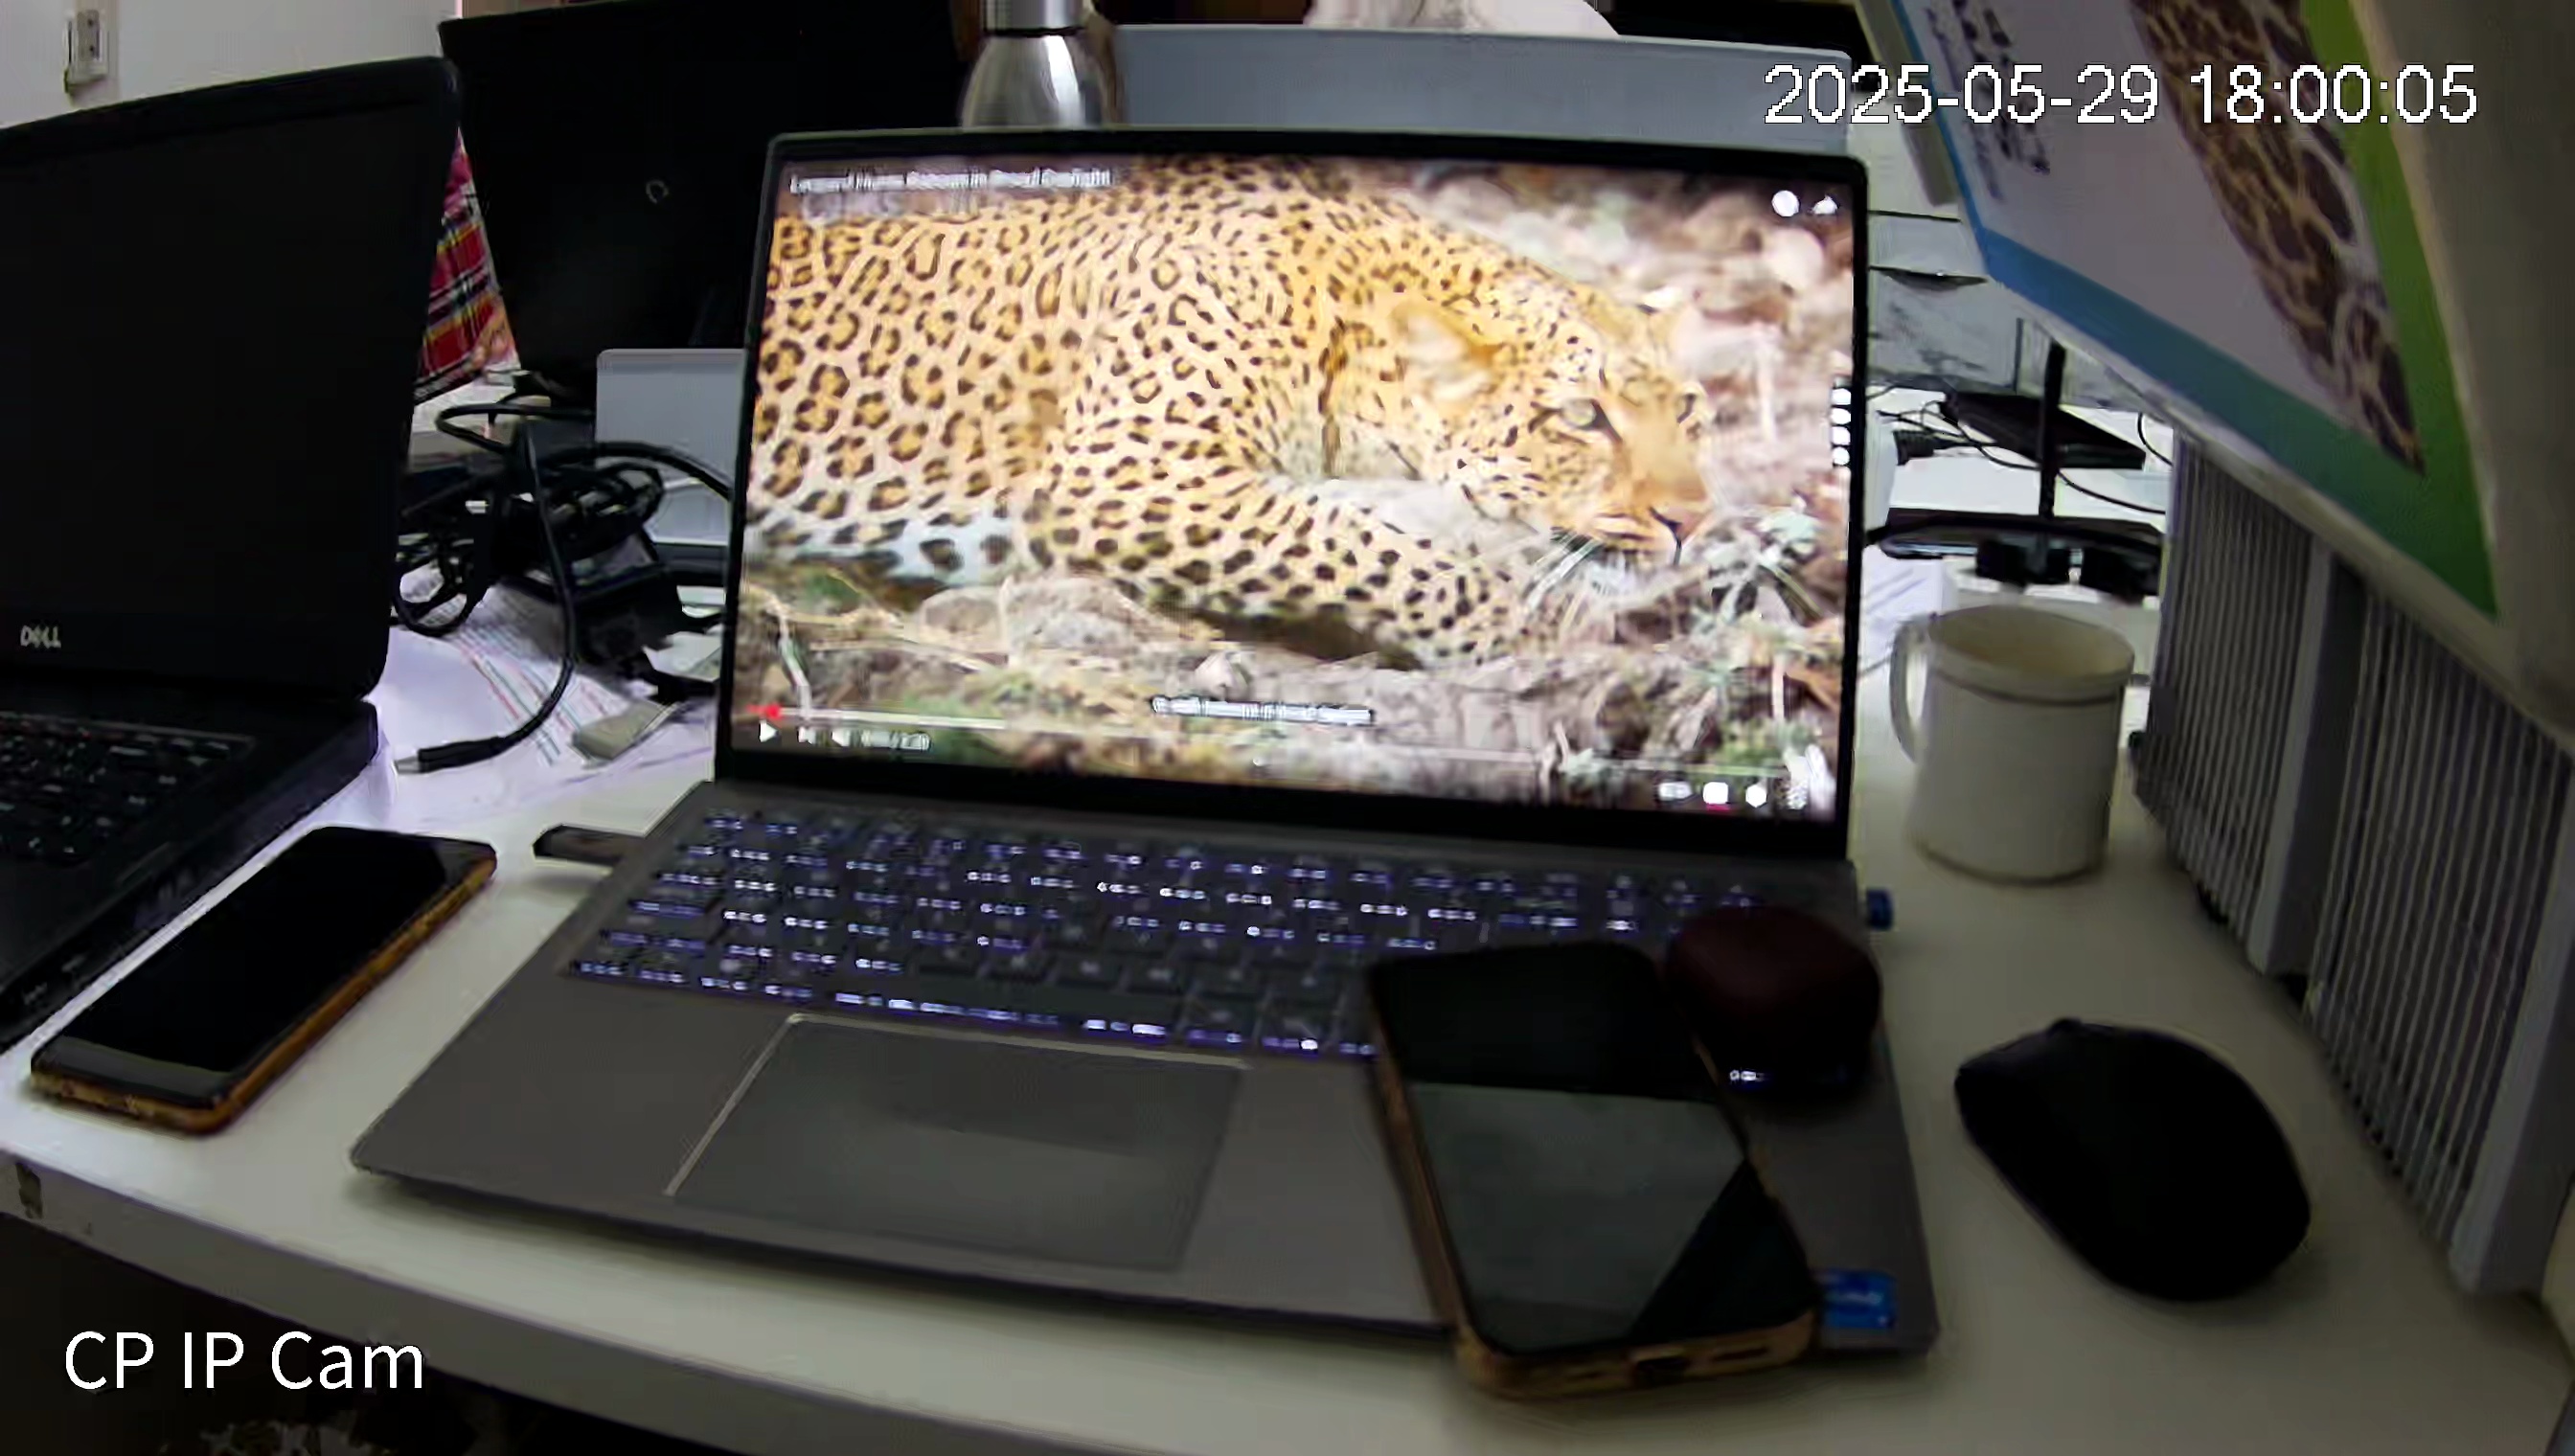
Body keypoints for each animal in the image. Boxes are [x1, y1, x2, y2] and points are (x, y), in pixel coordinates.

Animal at [742, 156, 1719, 670]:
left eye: (1690, 412)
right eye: (1584, 418)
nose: (1691, 522)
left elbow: (1366, 530)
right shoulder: (1123, 473)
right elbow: (1364, 547)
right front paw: (1532, 638)